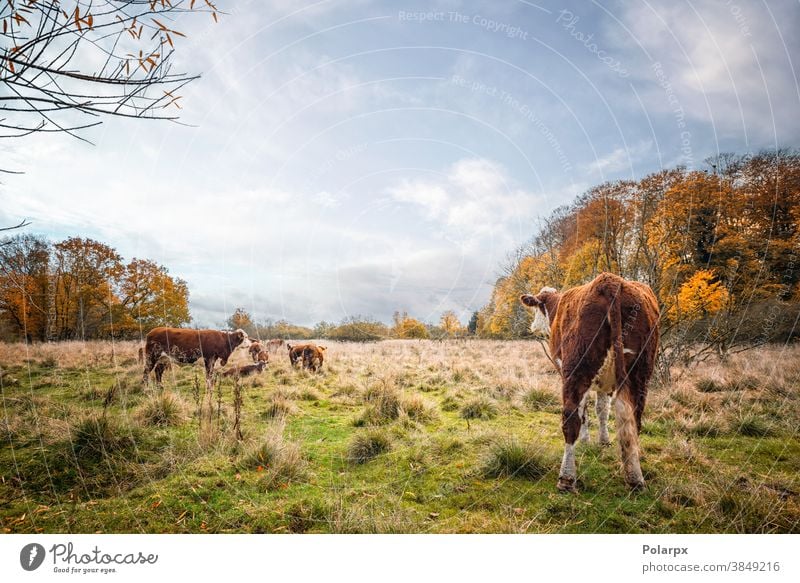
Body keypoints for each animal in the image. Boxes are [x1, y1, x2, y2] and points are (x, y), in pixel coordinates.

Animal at [520, 272, 660, 492]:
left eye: (537, 308)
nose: (533, 327)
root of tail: (609, 281)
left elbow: (584, 411)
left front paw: (585, 440)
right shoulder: (605, 384)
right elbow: (602, 409)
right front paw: (603, 441)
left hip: (577, 369)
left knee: (570, 419)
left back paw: (566, 478)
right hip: (641, 373)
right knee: (632, 421)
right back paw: (635, 478)